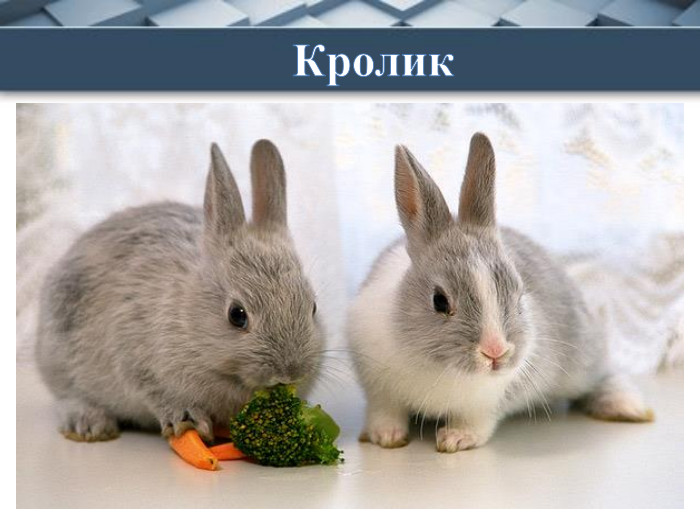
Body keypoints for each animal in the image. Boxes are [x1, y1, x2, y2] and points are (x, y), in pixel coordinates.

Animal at [35, 140, 325, 443]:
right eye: (237, 315)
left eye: (313, 308)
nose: (290, 372)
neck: (188, 320)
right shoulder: (135, 359)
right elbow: (158, 394)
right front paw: (188, 421)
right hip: (58, 353)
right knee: (68, 395)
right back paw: (91, 425)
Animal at [349, 132, 654, 453]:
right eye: (439, 301)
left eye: (519, 295)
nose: (495, 352)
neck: (437, 367)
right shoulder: (379, 390)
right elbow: (385, 412)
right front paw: (386, 437)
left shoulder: (484, 405)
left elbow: (476, 424)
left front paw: (456, 439)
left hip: (583, 358)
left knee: (605, 376)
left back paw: (627, 407)